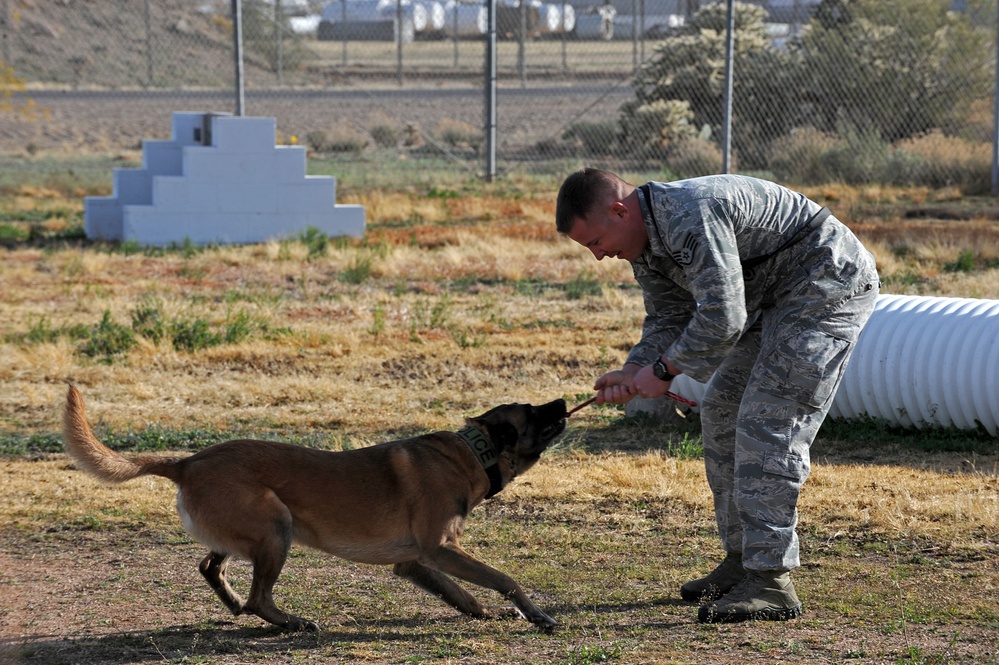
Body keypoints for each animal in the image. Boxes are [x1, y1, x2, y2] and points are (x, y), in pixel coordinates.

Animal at [60, 384, 572, 628]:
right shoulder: (440, 549)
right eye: (533, 411)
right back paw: (288, 621)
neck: (472, 453)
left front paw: (484, 614)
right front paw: (537, 615)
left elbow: (461, 594)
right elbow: (504, 578)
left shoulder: (417, 562)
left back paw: (234, 605)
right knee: (259, 595)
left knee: (211, 566)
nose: (565, 400)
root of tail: (187, 461)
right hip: (276, 527)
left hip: (246, 531)